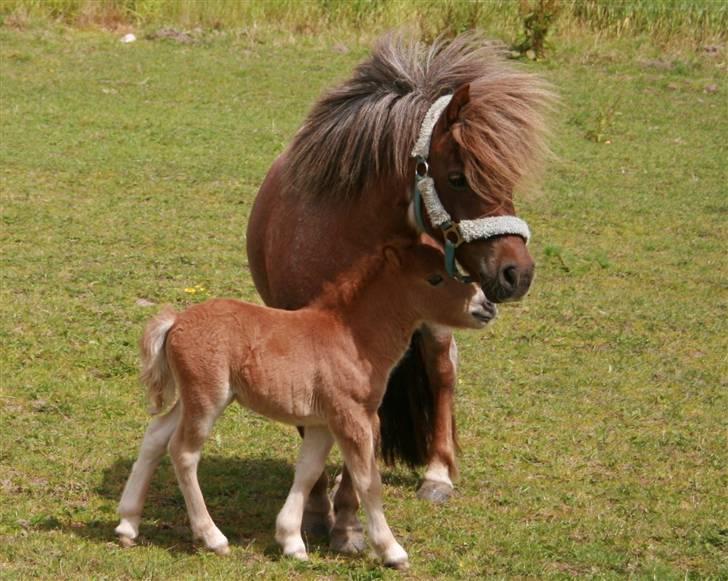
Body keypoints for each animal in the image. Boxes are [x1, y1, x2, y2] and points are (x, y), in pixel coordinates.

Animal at [115, 240, 494, 568]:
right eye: (435, 278)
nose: (486, 307)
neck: (352, 338)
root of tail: (176, 321)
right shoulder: (352, 416)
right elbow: (367, 480)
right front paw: (392, 551)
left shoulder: (322, 422)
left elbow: (308, 471)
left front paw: (291, 542)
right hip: (207, 397)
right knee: (183, 451)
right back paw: (212, 537)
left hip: (193, 397)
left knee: (156, 434)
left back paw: (127, 524)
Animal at [246, 32, 552, 552]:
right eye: (458, 178)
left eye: (506, 180)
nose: (518, 274)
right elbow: (313, 432)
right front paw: (316, 512)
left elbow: (368, 433)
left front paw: (348, 522)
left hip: (437, 325)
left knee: (443, 375)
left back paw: (437, 475)